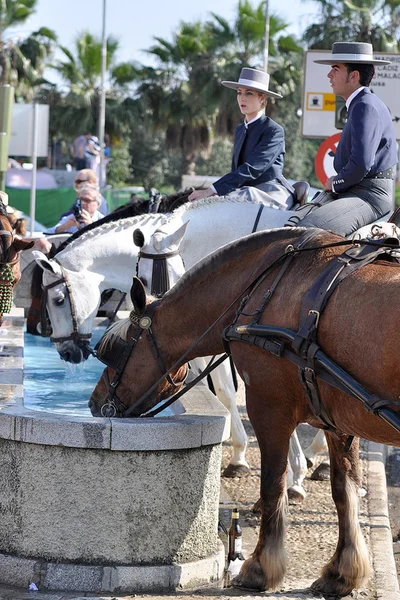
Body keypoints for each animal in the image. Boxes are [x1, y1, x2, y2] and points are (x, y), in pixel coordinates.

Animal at [89, 227, 400, 596]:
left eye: (116, 349)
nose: (94, 402)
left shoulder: (268, 407)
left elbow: (272, 485)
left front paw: (260, 568)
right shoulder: (336, 419)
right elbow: (344, 488)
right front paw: (342, 572)